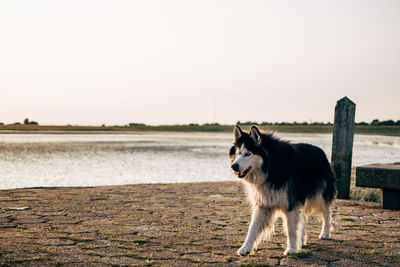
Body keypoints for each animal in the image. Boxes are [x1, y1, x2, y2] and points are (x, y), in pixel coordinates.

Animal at [230, 126, 336, 258]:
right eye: (238, 153)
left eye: (248, 154)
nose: (233, 166)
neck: (270, 168)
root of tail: (320, 150)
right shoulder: (263, 203)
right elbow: (252, 228)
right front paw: (245, 248)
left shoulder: (290, 203)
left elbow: (291, 229)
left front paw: (291, 249)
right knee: (304, 217)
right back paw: (301, 240)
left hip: (321, 194)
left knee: (326, 212)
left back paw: (325, 233)